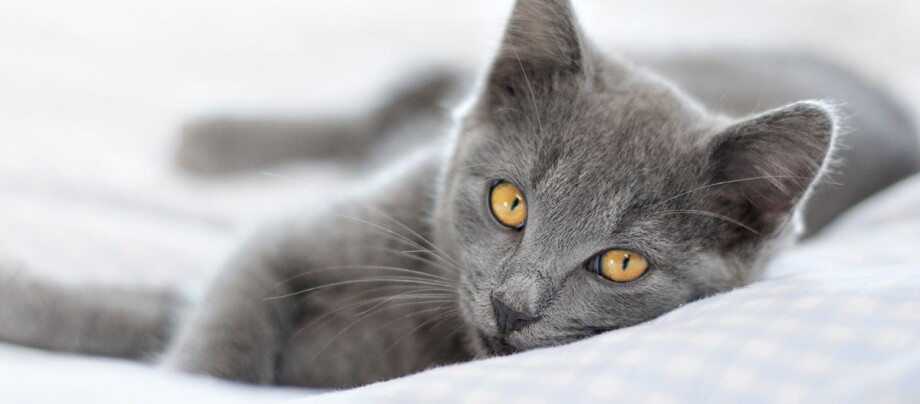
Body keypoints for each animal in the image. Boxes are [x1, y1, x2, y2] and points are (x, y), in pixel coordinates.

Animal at [1, 0, 920, 388]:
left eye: (621, 264)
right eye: (509, 203)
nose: (513, 307)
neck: (424, 322)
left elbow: (160, 313)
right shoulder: (294, 239)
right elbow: (214, 330)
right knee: (403, 94)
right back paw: (210, 139)